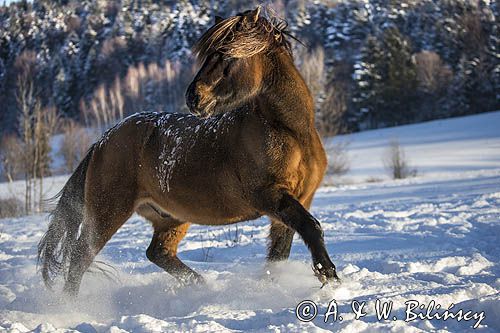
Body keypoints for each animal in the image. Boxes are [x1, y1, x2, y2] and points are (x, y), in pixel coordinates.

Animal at [37, 7, 338, 296]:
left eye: (227, 54)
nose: (194, 97)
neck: (291, 131)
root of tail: (101, 142)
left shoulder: (297, 200)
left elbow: (280, 253)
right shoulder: (269, 195)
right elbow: (311, 227)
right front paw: (331, 277)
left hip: (170, 217)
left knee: (158, 252)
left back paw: (201, 286)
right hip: (107, 213)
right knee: (80, 258)